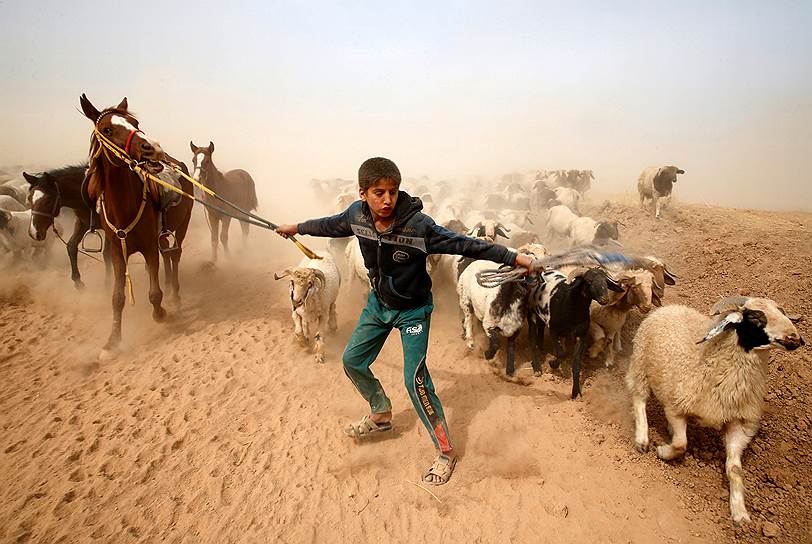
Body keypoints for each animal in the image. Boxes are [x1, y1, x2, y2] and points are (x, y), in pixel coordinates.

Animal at [79, 94, 193, 356]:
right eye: (107, 129)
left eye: (135, 122)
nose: (152, 148)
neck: (124, 207)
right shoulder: (117, 252)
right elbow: (117, 298)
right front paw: (112, 341)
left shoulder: (149, 247)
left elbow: (154, 293)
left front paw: (161, 314)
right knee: (168, 255)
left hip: (182, 226)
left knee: (175, 255)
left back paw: (175, 295)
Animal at [624, 296, 804, 524]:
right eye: (755, 317)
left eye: (782, 312)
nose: (795, 338)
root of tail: (671, 307)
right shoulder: (676, 406)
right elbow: (681, 444)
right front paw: (663, 452)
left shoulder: (738, 423)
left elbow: (735, 469)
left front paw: (739, 513)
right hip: (640, 363)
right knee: (639, 398)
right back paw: (642, 439)